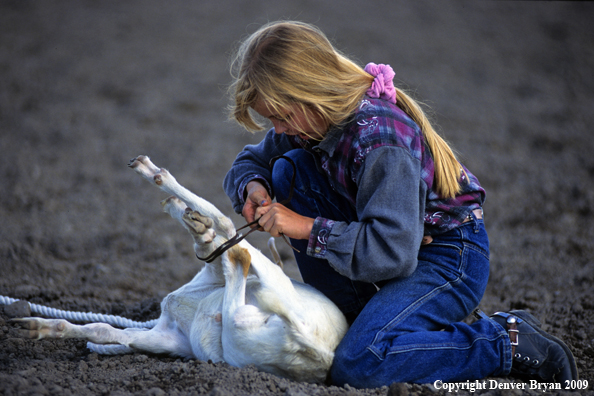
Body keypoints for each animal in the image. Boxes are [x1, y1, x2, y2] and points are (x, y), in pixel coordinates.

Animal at [13, 155, 346, 384]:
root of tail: (317, 348)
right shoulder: (169, 337)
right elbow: (104, 330)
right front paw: (37, 328)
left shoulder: (209, 278)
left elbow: (217, 237)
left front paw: (177, 202)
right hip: (241, 339)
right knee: (236, 277)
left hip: (266, 286)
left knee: (232, 235)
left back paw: (158, 178)